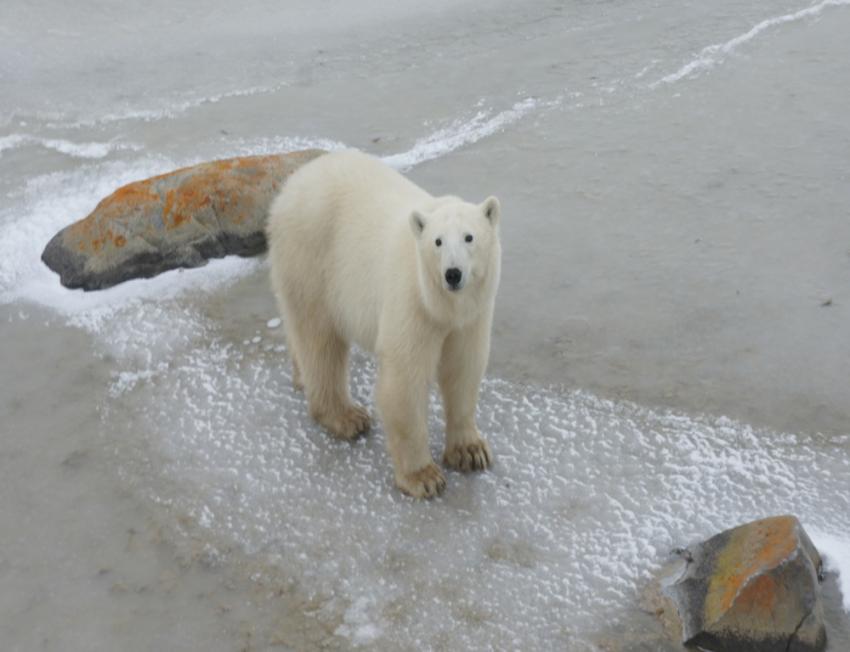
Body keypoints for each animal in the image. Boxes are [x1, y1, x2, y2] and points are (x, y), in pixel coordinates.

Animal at [268, 150, 500, 496]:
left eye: (469, 237)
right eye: (437, 242)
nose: (453, 274)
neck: (443, 305)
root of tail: (289, 187)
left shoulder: (472, 316)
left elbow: (463, 368)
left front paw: (471, 452)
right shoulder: (412, 300)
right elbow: (404, 378)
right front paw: (424, 477)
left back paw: (301, 377)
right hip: (311, 258)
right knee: (320, 340)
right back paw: (346, 416)